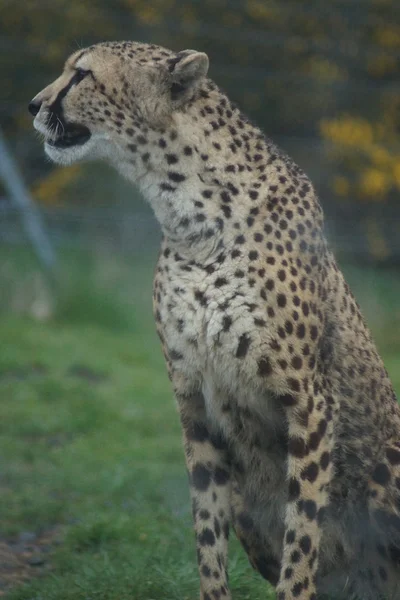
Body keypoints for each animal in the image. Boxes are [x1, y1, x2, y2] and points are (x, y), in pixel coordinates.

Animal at [29, 39, 400, 596]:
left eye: (82, 75)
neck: (190, 215)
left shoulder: (310, 402)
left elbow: (302, 537)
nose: (33, 104)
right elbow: (207, 536)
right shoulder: (194, 400)